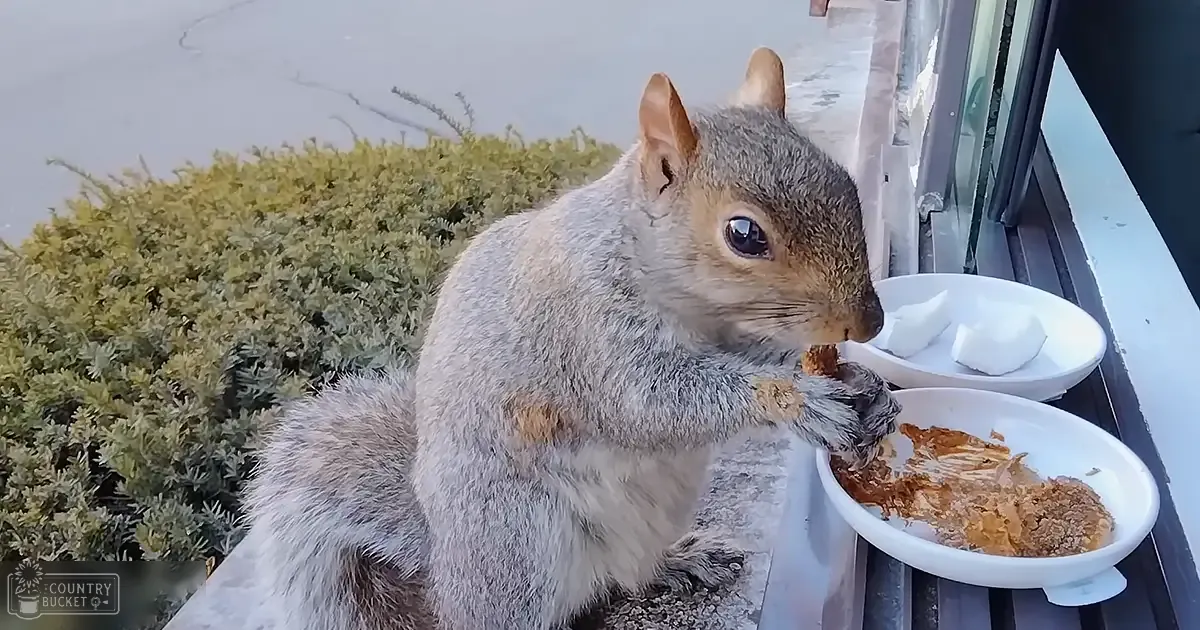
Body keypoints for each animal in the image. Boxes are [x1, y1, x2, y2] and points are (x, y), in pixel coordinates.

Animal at [244, 46, 900, 630]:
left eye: (846, 183)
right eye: (744, 235)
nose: (869, 323)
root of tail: (443, 570)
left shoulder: (731, 331)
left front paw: (864, 386)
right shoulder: (585, 330)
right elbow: (652, 402)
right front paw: (799, 401)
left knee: (626, 575)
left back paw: (678, 562)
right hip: (517, 543)